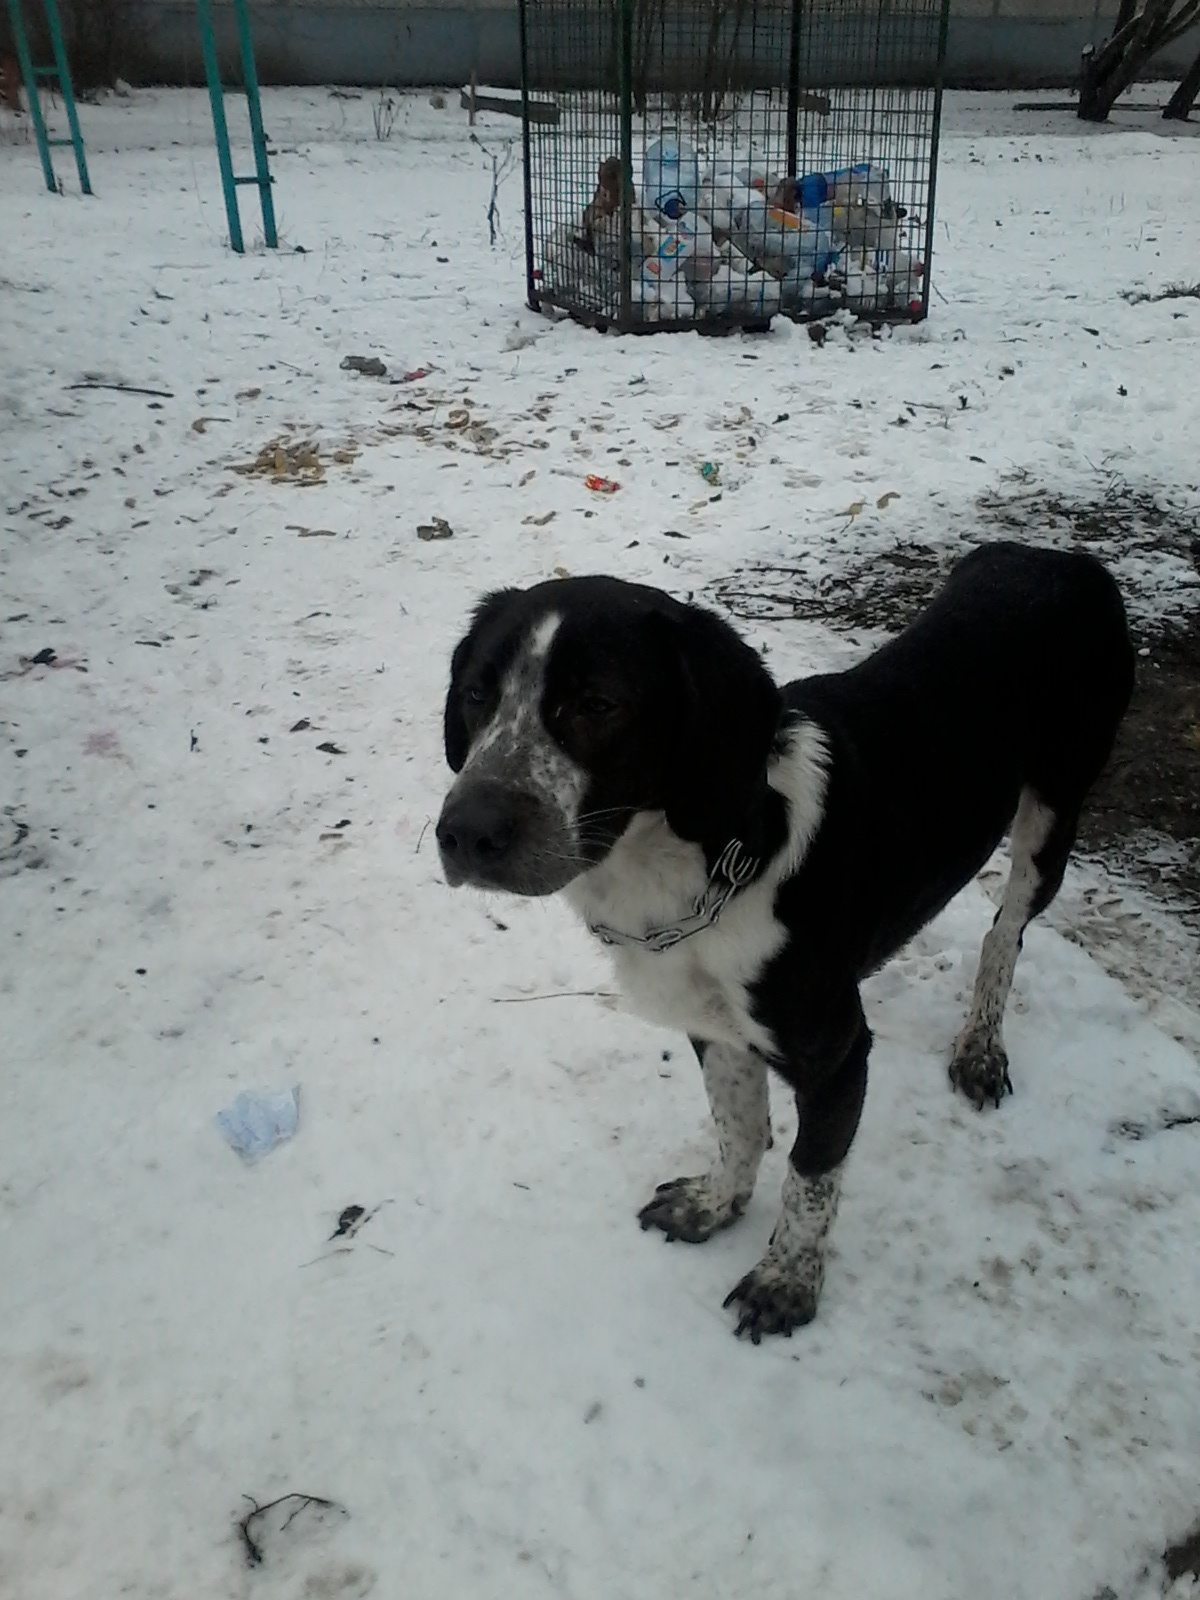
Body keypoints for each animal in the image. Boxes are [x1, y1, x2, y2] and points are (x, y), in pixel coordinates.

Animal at [438, 544, 1132, 1344]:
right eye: (476, 694)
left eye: (598, 704)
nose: (464, 834)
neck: (709, 858)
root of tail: (1063, 556)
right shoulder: (713, 1025)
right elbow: (739, 1126)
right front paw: (713, 1206)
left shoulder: (838, 1055)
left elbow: (810, 1174)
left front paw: (785, 1282)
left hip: (1053, 815)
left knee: (1005, 933)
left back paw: (981, 1048)